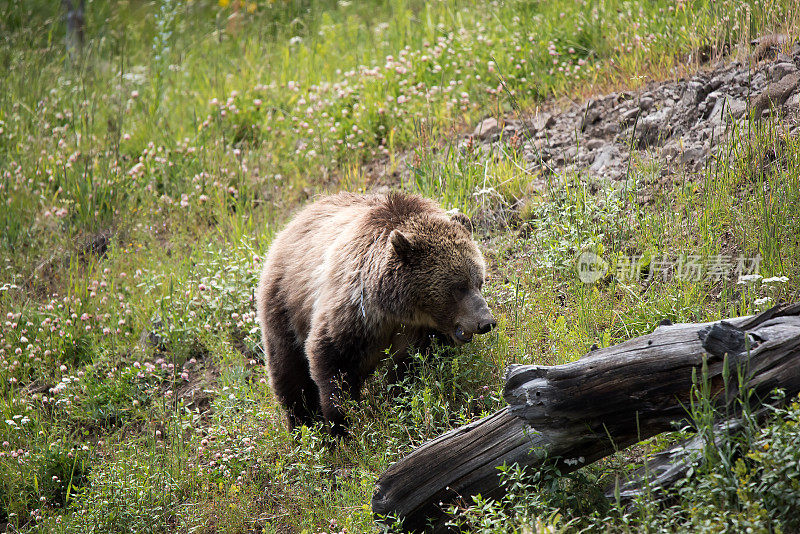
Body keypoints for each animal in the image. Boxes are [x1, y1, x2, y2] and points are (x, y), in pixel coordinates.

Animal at [258, 192, 494, 436]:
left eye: (479, 281)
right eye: (458, 287)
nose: (486, 322)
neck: (397, 309)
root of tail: (293, 222)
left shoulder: (419, 333)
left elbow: (411, 371)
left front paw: (401, 405)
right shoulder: (353, 312)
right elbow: (332, 362)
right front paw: (340, 426)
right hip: (285, 304)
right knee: (289, 371)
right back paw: (302, 425)